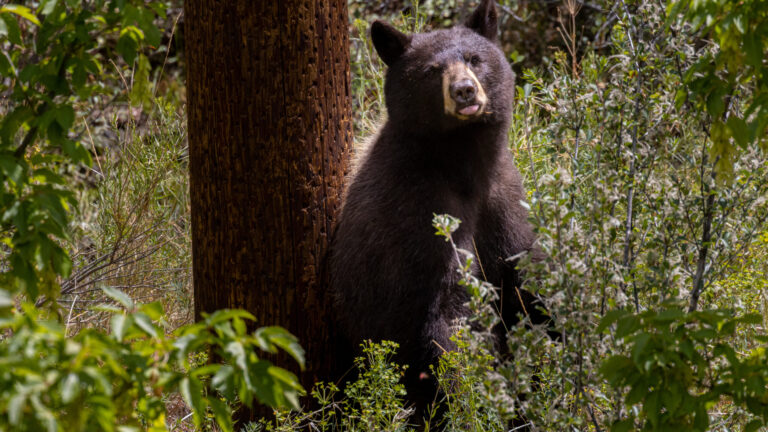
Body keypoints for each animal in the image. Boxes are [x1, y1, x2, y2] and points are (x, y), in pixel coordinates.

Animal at [330, 0, 553, 423]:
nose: (464, 90)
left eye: (474, 58)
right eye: (432, 70)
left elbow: (526, 280)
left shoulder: (503, 198)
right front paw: (471, 402)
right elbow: (445, 314)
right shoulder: (419, 212)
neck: (462, 162)